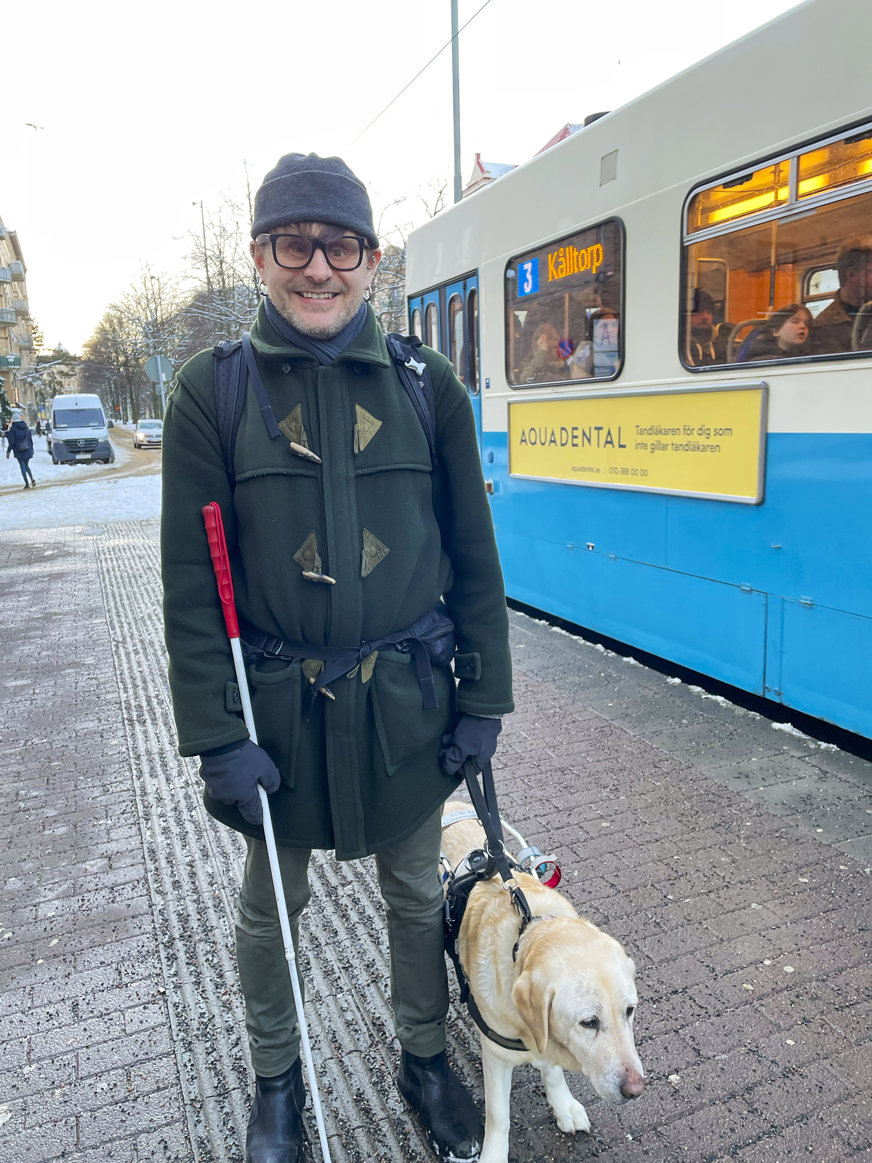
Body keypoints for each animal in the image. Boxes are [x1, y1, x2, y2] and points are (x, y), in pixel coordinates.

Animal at [444, 800, 641, 1163]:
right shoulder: (495, 1055)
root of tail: (453, 803)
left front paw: (563, 1105)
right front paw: (494, 1154)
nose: (636, 1090)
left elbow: (552, 1071)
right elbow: (499, 1115)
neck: (527, 935)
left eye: (630, 1011)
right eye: (589, 1022)